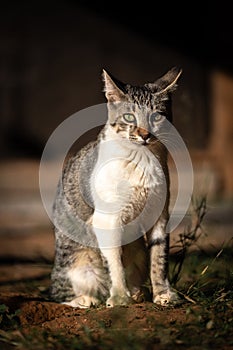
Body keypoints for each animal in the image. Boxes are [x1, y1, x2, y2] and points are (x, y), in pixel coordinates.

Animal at [50, 67, 182, 308]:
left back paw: (138, 292)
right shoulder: (106, 219)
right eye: (129, 117)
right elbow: (114, 263)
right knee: (60, 294)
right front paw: (120, 297)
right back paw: (86, 299)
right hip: (77, 267)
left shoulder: (160, 216)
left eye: (156, 116)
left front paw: (163, 294)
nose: (145, 134)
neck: (141, 160)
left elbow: (159, 258)